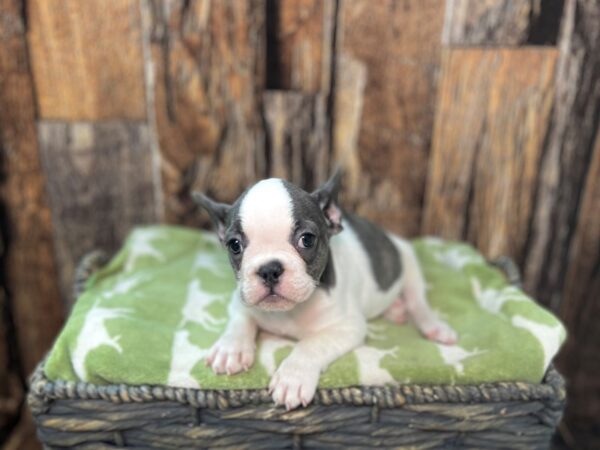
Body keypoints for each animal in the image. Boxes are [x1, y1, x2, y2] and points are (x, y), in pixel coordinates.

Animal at [195, 173, 458, 412]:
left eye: (307, 240)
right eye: (234, 245)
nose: (269, 269)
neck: (289, 311)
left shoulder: (348, 327)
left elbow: (311, 344)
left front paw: (293, 376)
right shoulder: (240, 299)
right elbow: (240, 320)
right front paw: (231, 349)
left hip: (408, 261)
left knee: (418, 301)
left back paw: (434, 326)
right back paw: (396, 310)